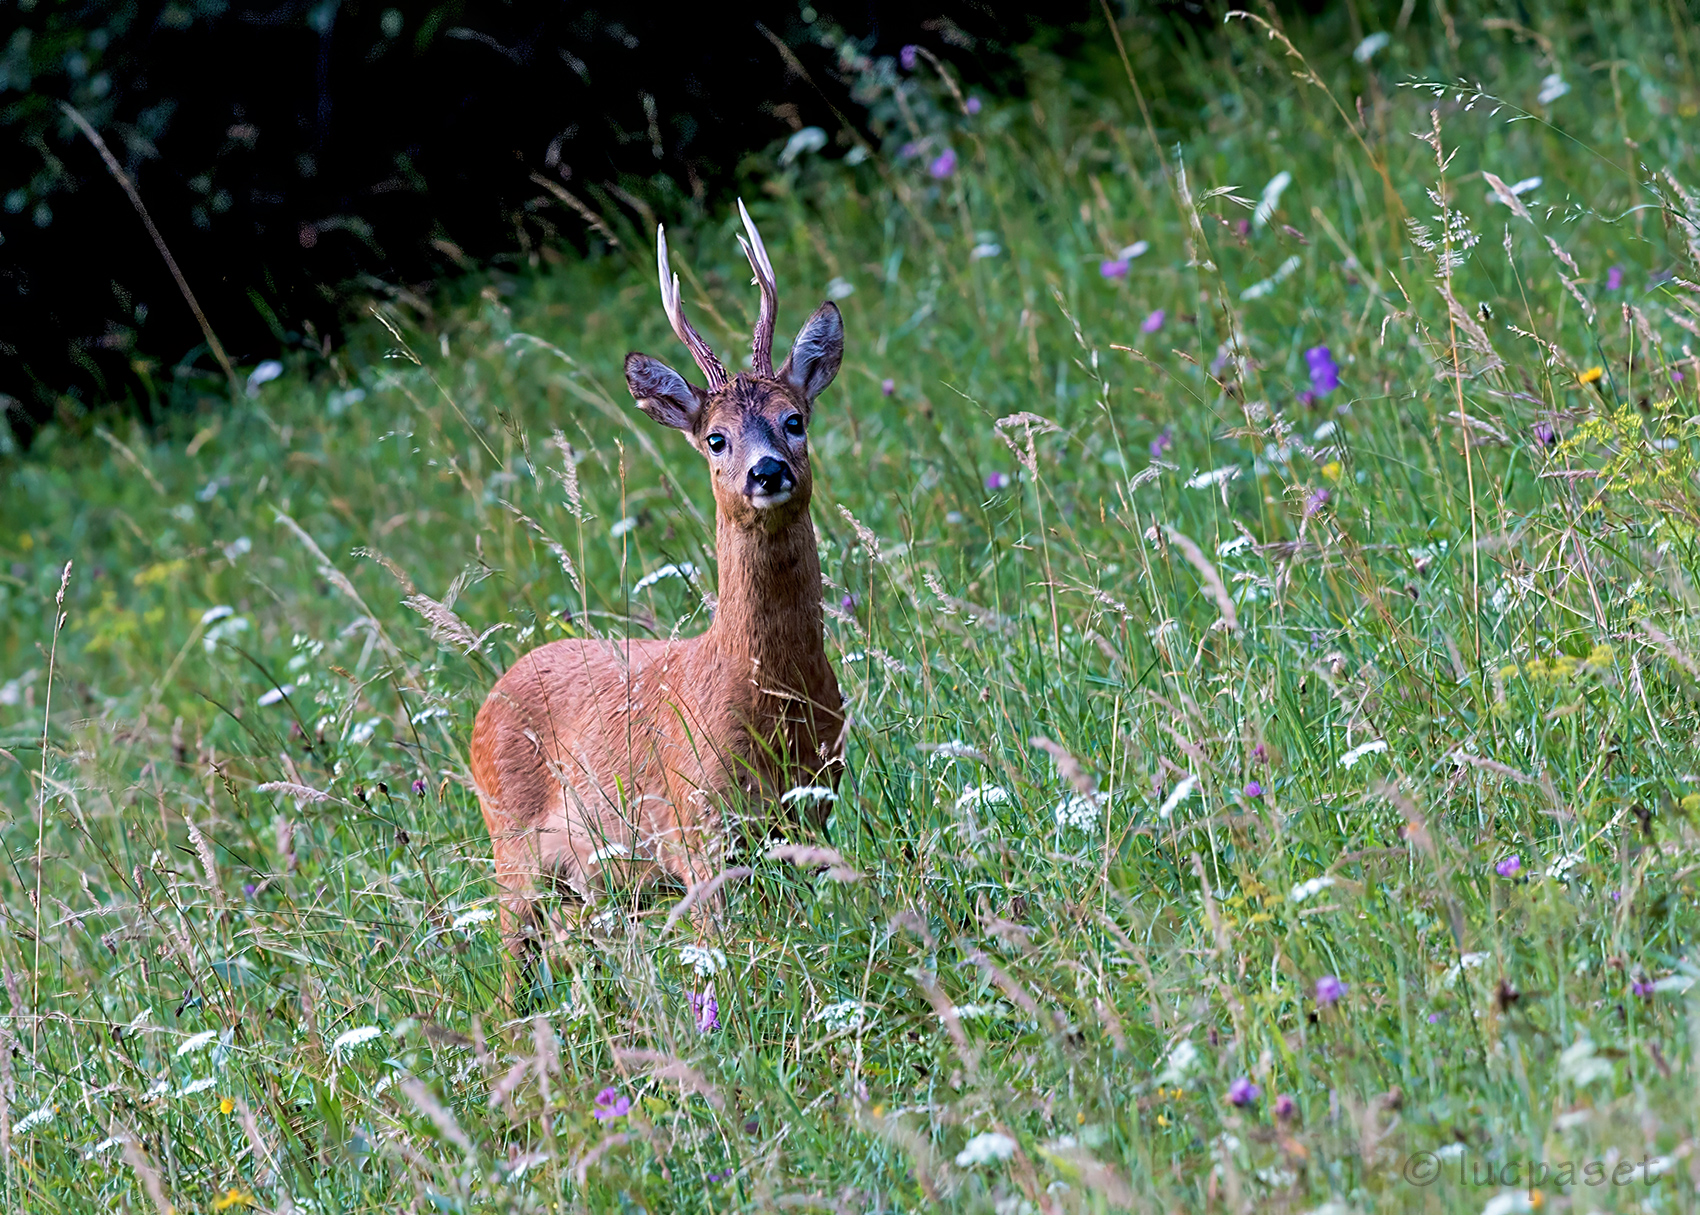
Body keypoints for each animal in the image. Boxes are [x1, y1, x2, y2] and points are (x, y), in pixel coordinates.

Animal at [469, 201, 845, 967]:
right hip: (512, 853)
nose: (768, 470)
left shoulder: (818, 805)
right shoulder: (697, 826)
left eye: (794, 419)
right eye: (716, 438)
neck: (774, 700)